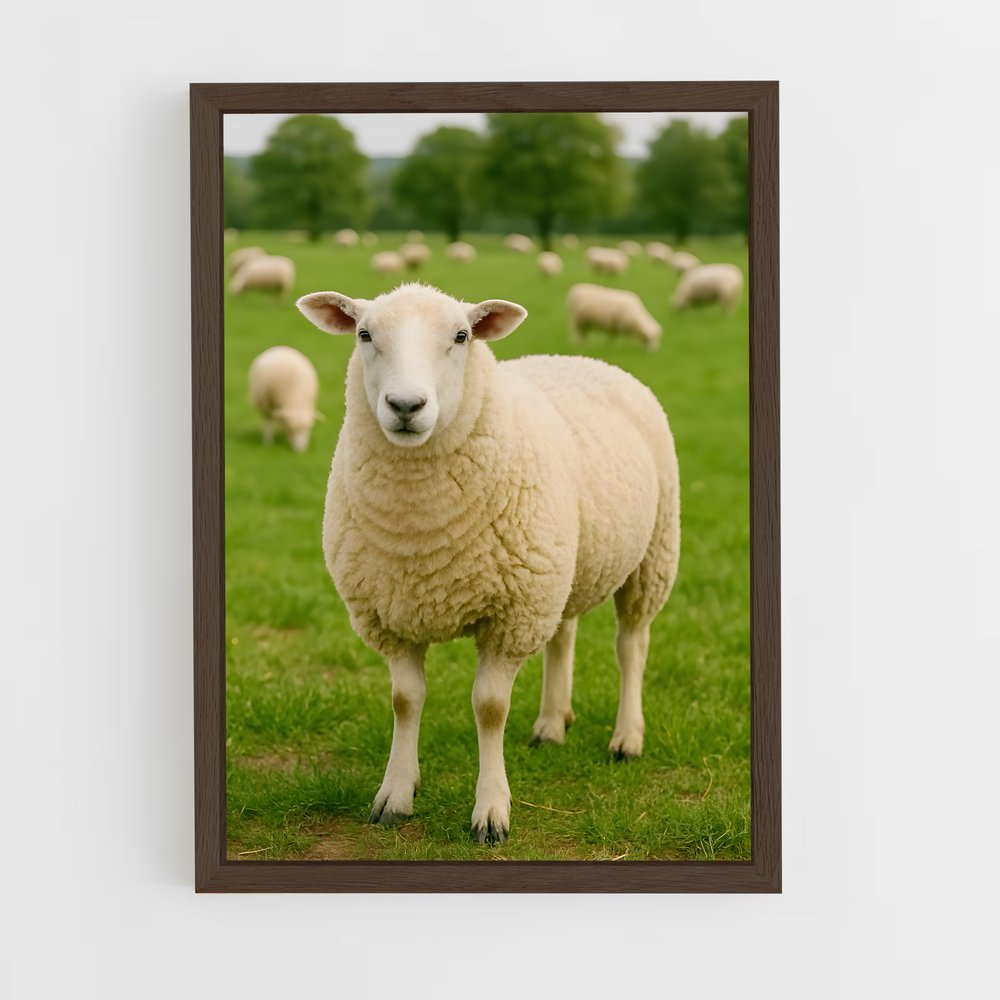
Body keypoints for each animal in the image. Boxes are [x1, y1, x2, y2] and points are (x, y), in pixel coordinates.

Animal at [296, 282, 680, 844]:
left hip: (651, 553)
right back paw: (551, 724)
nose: (406, 405)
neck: (421, 532)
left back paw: (626, 737)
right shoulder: (391, 614)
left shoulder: (510, 616)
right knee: (563, 637)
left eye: (462, 336)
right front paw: (396, 794)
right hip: (557, 569)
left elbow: (490, 708)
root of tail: (580, 359)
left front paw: (491, 812)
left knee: (631, 645)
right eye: (364, 334)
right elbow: (405, 700)